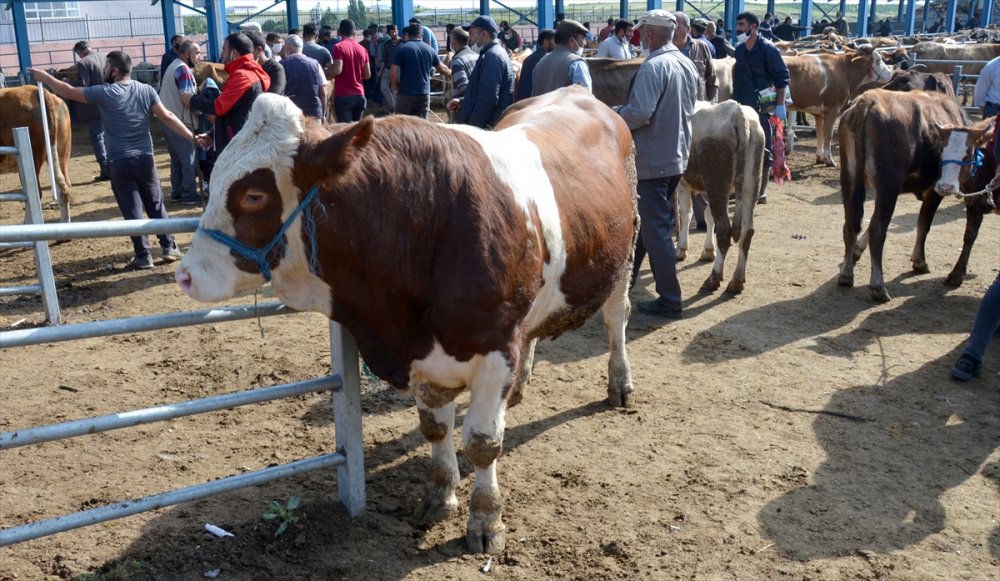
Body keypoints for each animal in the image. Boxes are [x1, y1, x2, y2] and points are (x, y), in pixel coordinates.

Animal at [175, 87, 636, 552]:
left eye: (254, 195)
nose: (186, 275)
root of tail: (576, 91)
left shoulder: (497, 345)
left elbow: (483, 442)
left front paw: (486, 519)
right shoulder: (423, 354)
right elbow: (434, 429)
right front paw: (439, 495)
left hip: (623, 259)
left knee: (616, 319)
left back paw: (619, 384)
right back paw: (522, 382)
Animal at [676, 98, 760, 294]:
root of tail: (737, 112)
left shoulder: (683, 183)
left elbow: (686, 214)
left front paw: (681, 248)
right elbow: (707, 216)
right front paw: (708, 251)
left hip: (718, 185)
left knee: (724, 231)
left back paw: (713, 278)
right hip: (749, 185)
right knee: (746, 231)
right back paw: (736, 281)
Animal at [832, 89, 988, 304]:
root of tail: (867, 102)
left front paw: (856, 251)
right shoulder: (934, 190)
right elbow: (924, 223)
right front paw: (919, 261)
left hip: (850, 179)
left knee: (851, 224)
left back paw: (846, 275)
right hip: (888, 186)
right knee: (878, 229)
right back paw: (878, 287)